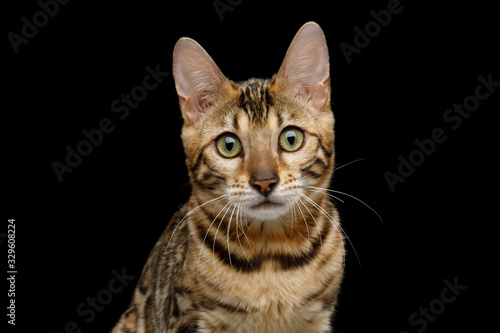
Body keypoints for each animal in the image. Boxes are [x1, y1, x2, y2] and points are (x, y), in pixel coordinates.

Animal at [113, 21, 346, 332]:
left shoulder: (317, 317)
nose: (264, 181)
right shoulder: (190, 317)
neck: (270, 256)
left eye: (291, 138)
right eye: (229, 145)